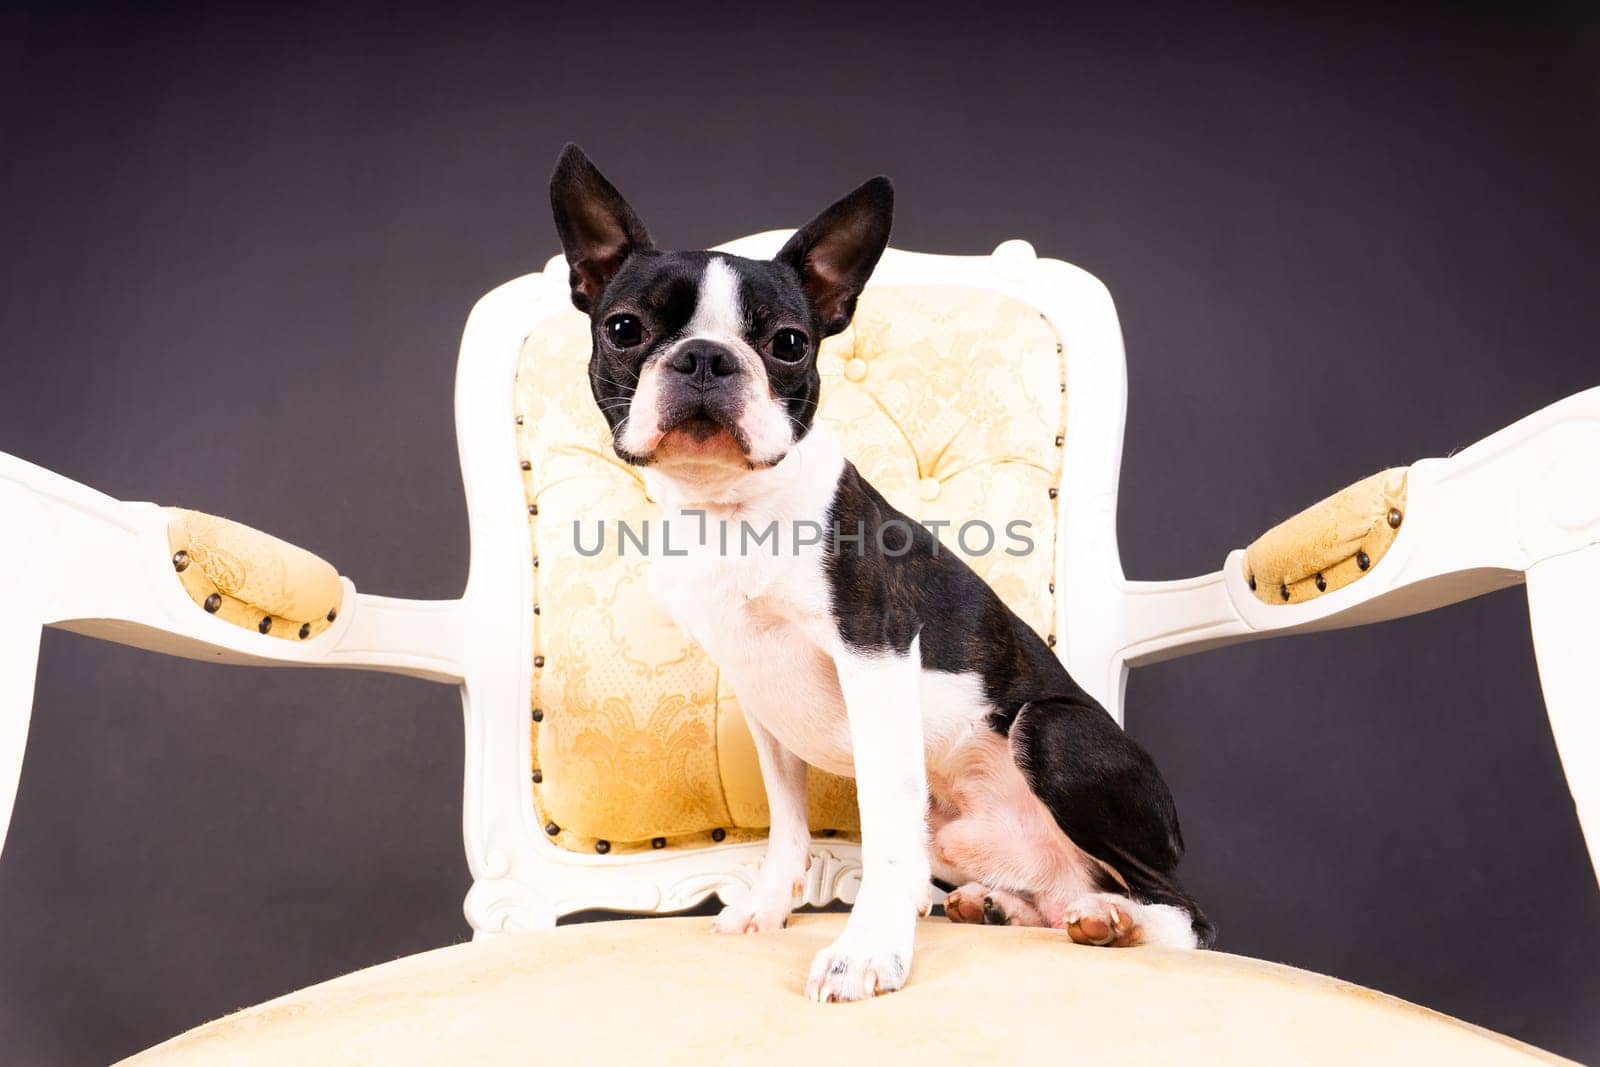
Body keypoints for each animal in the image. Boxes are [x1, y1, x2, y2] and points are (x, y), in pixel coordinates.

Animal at [544, 143, 1203, 1004]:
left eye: (789, 343)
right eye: (625, 328)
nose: (706, 357)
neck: (731, 508)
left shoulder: (875, 658)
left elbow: (887, 835)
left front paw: (865, 952)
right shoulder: (762, 698)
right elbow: (787, 825)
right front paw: (768, 905)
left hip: (1054, 731)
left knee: (1180, 913)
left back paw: (1115, 920)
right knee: (1054, 891)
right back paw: (1008, 904)